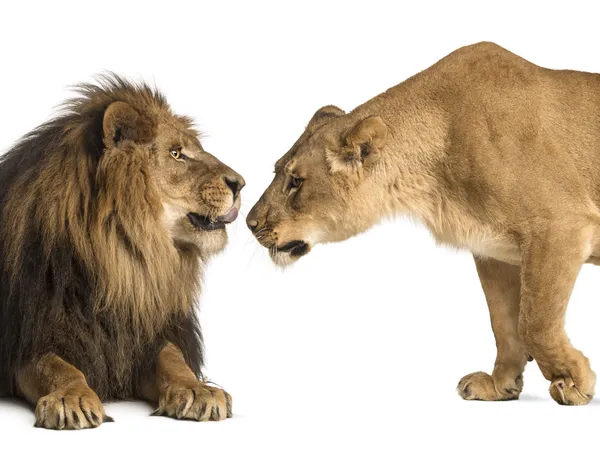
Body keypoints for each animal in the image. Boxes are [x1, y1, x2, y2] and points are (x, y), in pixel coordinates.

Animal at [0, 76, 245, 430]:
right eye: (176, 153)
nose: (240, 184)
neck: (120, 260)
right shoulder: (24, 337)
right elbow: (55, 366)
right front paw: (72, 398)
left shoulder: (141, 337)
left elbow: (173, 359)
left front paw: (198, 390)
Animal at [246, 43, 600, 406]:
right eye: (276, 171)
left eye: (296, 182)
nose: (250, 222)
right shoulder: (494, 251)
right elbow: (505, 324)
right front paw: (500, 385)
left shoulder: (561, 225)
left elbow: (534, 322)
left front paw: (575, 381)